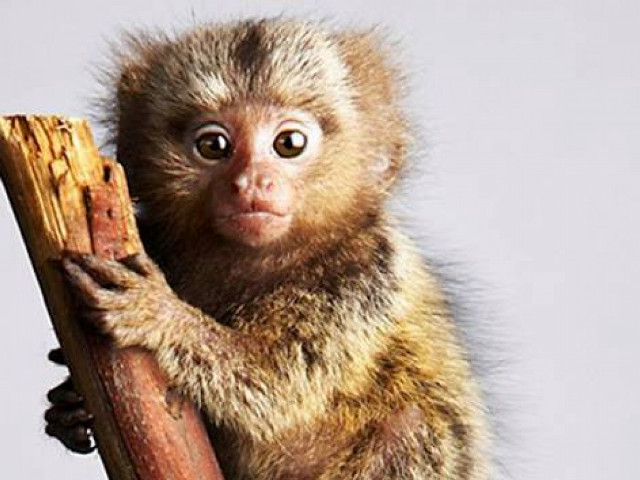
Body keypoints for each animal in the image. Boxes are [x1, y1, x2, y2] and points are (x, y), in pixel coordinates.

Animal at [44, 19, 492, 479]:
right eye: (213, 146)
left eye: (289, 143)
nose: (252, 182)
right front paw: (72, 404)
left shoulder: (362, 271)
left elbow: (272, 385)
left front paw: (161, 315)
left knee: (412, 430)